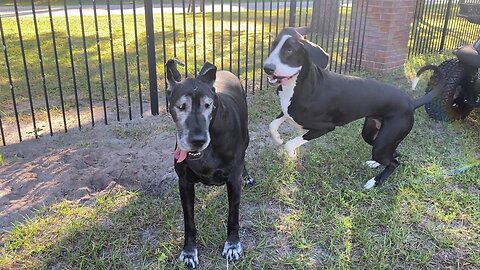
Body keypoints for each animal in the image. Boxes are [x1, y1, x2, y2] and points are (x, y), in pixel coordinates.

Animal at [166, 59, 255, 268]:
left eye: (208, 105)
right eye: (181, 107)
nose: (197, 140)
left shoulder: (233, 182)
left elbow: (233, 216)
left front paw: (232, 245)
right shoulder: (184, 183)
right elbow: (189, 221)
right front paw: (189, 252)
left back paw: (246, 175)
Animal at [264, 26, 440, 188]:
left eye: (289, 50)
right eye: (273, 45)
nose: (267, 68)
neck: (299, 84)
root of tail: (411, 103)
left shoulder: (324, 127)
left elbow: (290, 143)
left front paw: (292, 154)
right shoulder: (287, 111)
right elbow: (272, 125)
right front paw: (278, 138)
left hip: (383, 142)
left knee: (394, 163)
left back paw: (375, 181)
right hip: (373, 135)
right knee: (395, 153)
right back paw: (375, 164)